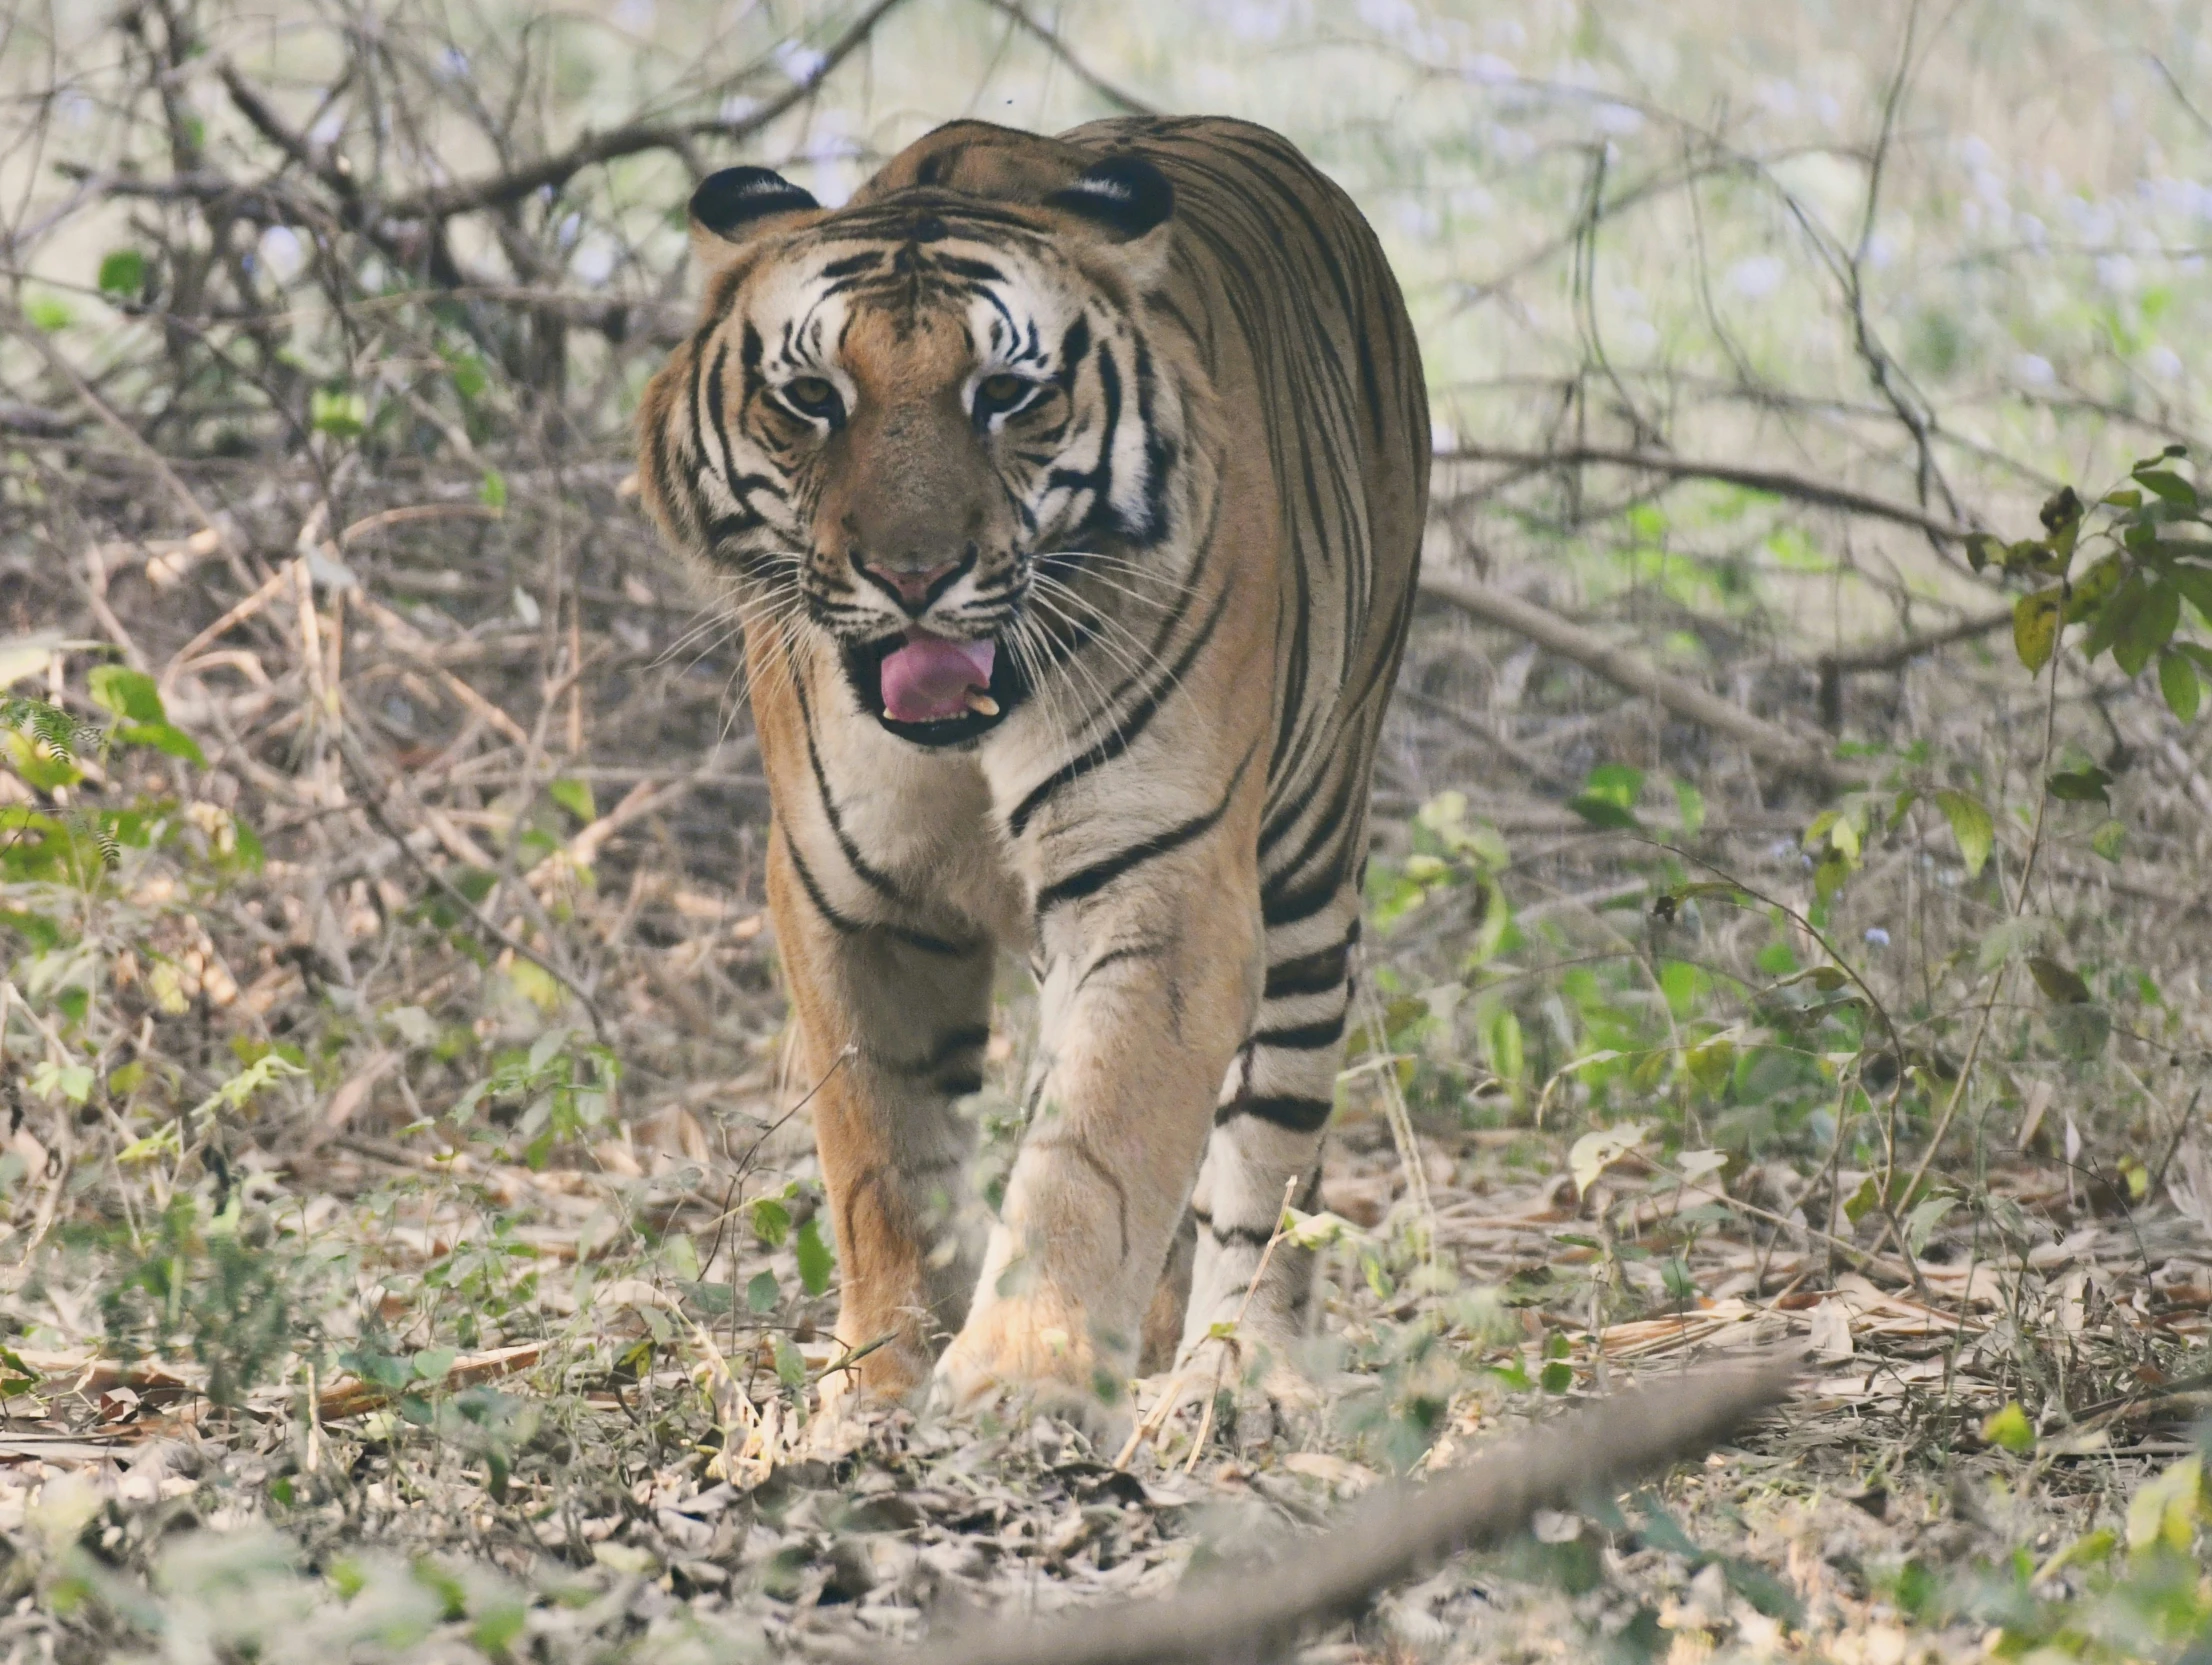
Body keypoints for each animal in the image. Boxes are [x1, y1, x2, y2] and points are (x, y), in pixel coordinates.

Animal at [641, 117, 1433, 1415]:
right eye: (811, 399)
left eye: (1005, 396)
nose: (913, 573)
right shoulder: (846, 900)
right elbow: (885, 1162)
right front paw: (884, 1387)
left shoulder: (1164, 882)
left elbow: (1094, 1155)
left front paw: (1019, 1387)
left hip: (1312, 864)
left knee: (1270, 1154)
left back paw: (1236, 1378)